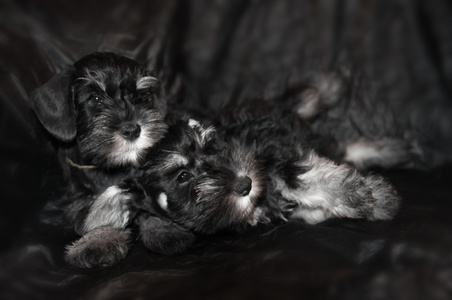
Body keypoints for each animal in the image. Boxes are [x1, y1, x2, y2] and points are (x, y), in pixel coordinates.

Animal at [29, 52, 169, 266]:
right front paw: (97, 242)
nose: (132, 129)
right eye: (95, 98)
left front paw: (162, 228)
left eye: (141, 96)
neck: (111, 165)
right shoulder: (79, 200)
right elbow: (100, 214)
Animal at [68, 105, 400, 268]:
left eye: (211, 148)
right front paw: (94, 242)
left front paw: (368, 196)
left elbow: (303, 178)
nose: (246, 183)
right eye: (182, 176)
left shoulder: (273, 146)